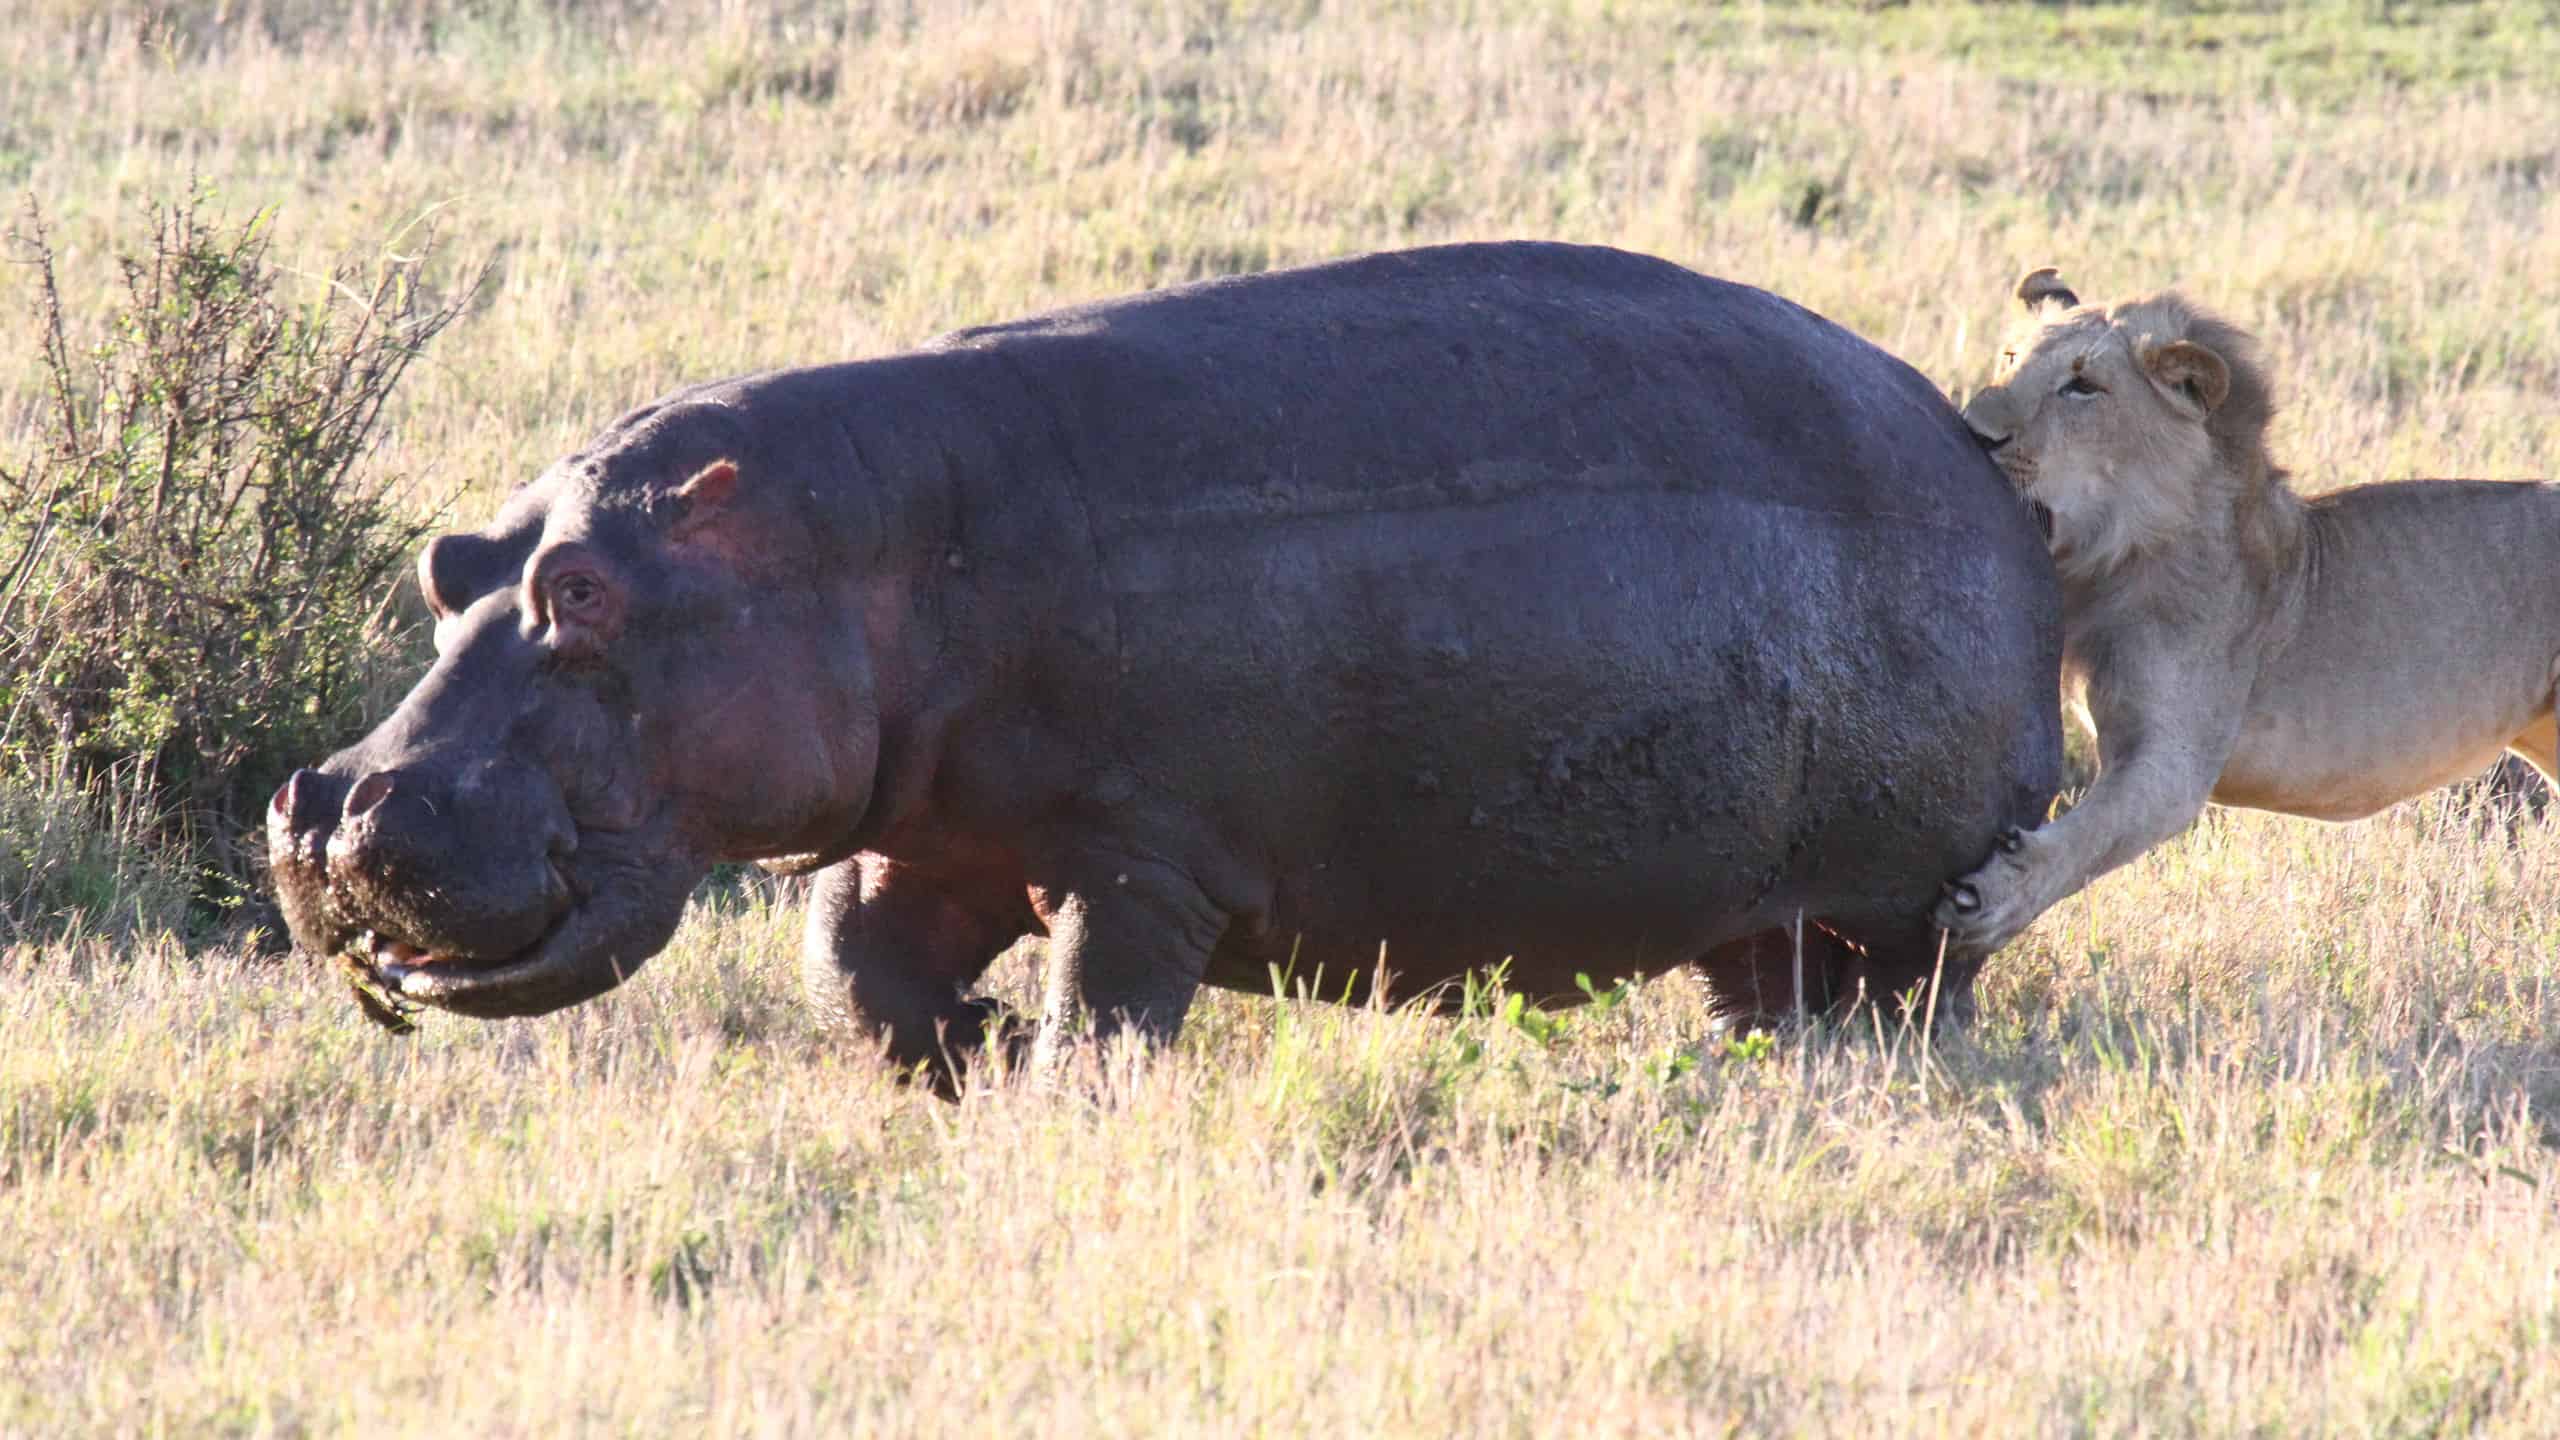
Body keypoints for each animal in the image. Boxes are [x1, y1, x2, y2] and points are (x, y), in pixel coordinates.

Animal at [264, 243, 2058, 1076]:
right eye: (449, 566)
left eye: (581, 593)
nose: (333, 811)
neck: (868, 546)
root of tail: (1980, 459)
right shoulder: (941, 830)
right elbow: (855, 969)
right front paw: (977, 1056)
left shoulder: (1136, 863)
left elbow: (1106, 1009)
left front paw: (1046, 1073)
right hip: (1768, 905)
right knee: (1773, 990)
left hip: (1914, 893)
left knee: (1919, 992)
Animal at [1925, 266, 2549, 953]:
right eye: (2012, 357)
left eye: (2083, 386)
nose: (1973, 428)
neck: (2116, 553)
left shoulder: (2176, 763)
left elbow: (2088, 841)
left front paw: (1988, 904)